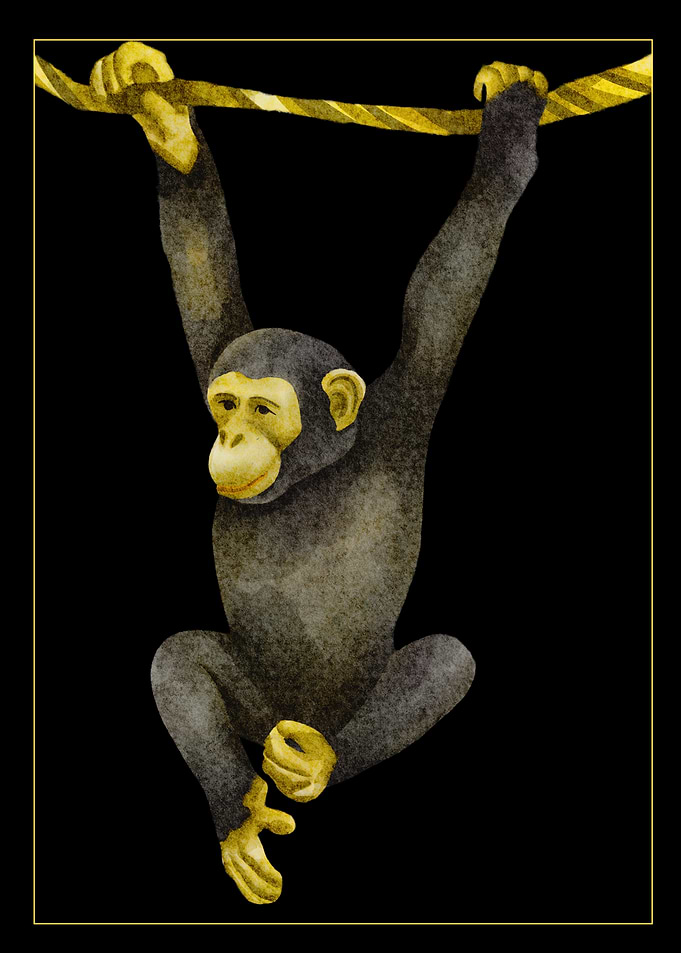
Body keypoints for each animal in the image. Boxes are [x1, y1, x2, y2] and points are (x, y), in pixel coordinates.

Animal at [86, 43, 548, 905]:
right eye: (224, 401)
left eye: (264, 409)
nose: (230, 433)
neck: (314, 470)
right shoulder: (215, 347)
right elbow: (199, 266)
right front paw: (167, 124)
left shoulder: (405, 408)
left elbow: (453, 273)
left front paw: (507, 126)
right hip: (257, 704)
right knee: (179, 660)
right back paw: (239, 813)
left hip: (344, 709)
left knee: (444, 665)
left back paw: (315, 762)